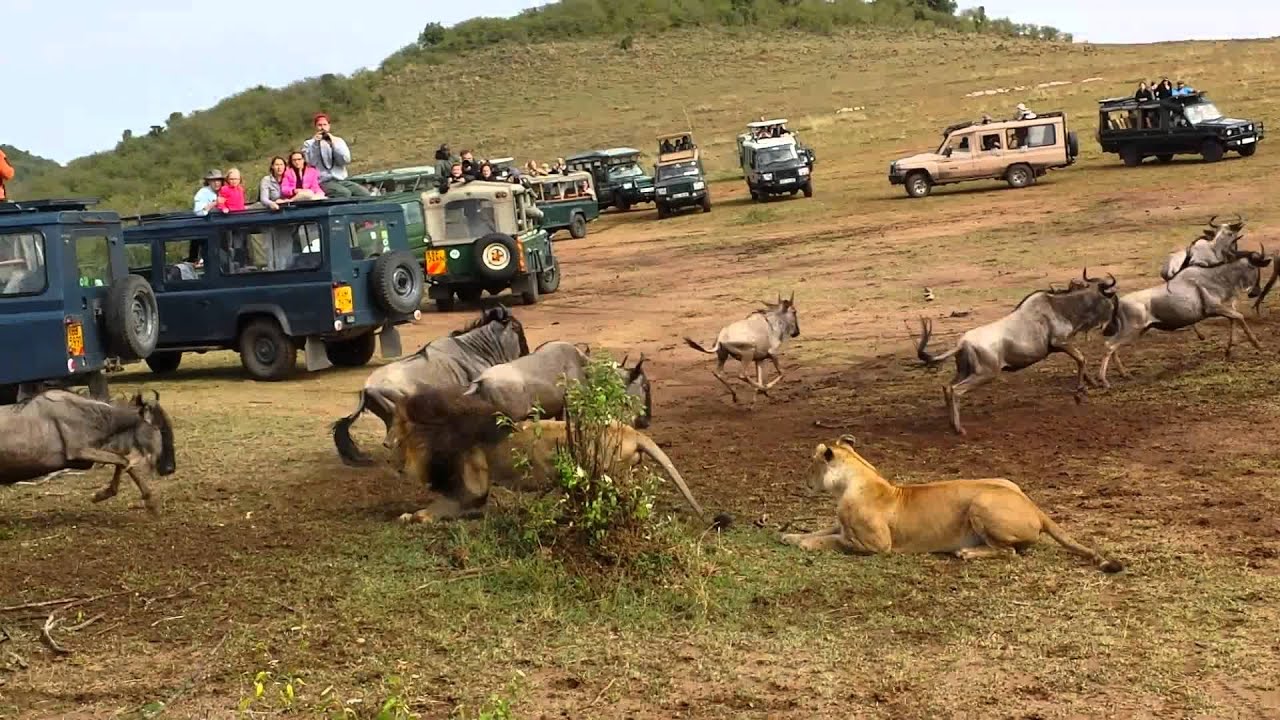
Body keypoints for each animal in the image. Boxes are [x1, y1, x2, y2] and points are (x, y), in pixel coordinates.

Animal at [384, 385, 710, 524]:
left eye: (394, 425)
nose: (386, 446)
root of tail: (632, 432)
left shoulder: (471, 483)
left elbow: (443, 504)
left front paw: (414, 516)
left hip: (608, 477)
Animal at [780, 435, 1124, 573]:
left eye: (810, 463)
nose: (802, 479)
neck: (851, 482)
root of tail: (1036, 507)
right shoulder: (840, 525)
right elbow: (820, 531)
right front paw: (789, 535)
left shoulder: (878, 546)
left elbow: (833, 541)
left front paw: (804, 544)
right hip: (1002, 481)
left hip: (981, 503)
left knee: (1009, 551)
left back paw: (967, 552)